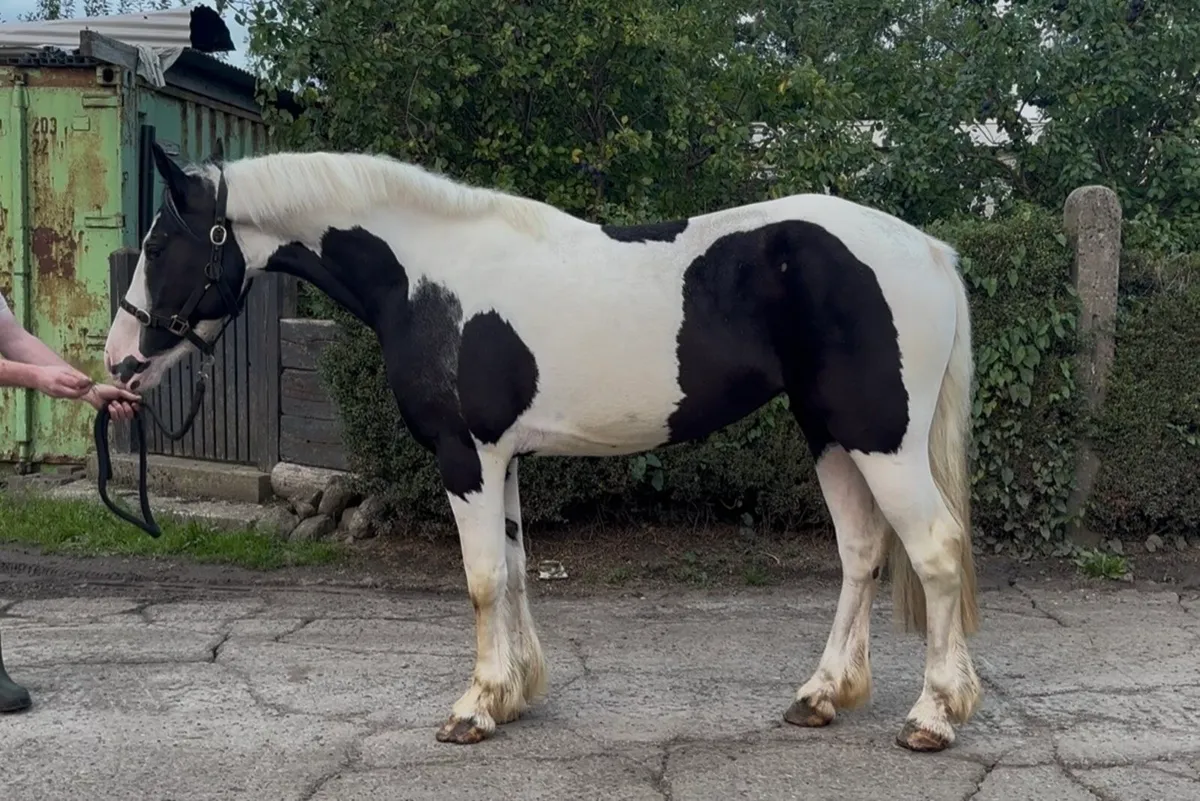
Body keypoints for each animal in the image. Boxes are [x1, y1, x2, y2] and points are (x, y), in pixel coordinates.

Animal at [103, 142, 982, 752]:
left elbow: (483, 578)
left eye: (162, 245)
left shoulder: (466, 456)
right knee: (862, 550)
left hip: (881, 441)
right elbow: (518, 569)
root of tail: (932, 253)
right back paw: (822, 694)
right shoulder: (506, 458)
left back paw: (933, 716)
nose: (117, 361)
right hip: (831, 433)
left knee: (935, 550)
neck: (429, 275)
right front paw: (514, 693)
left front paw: (474, 707)